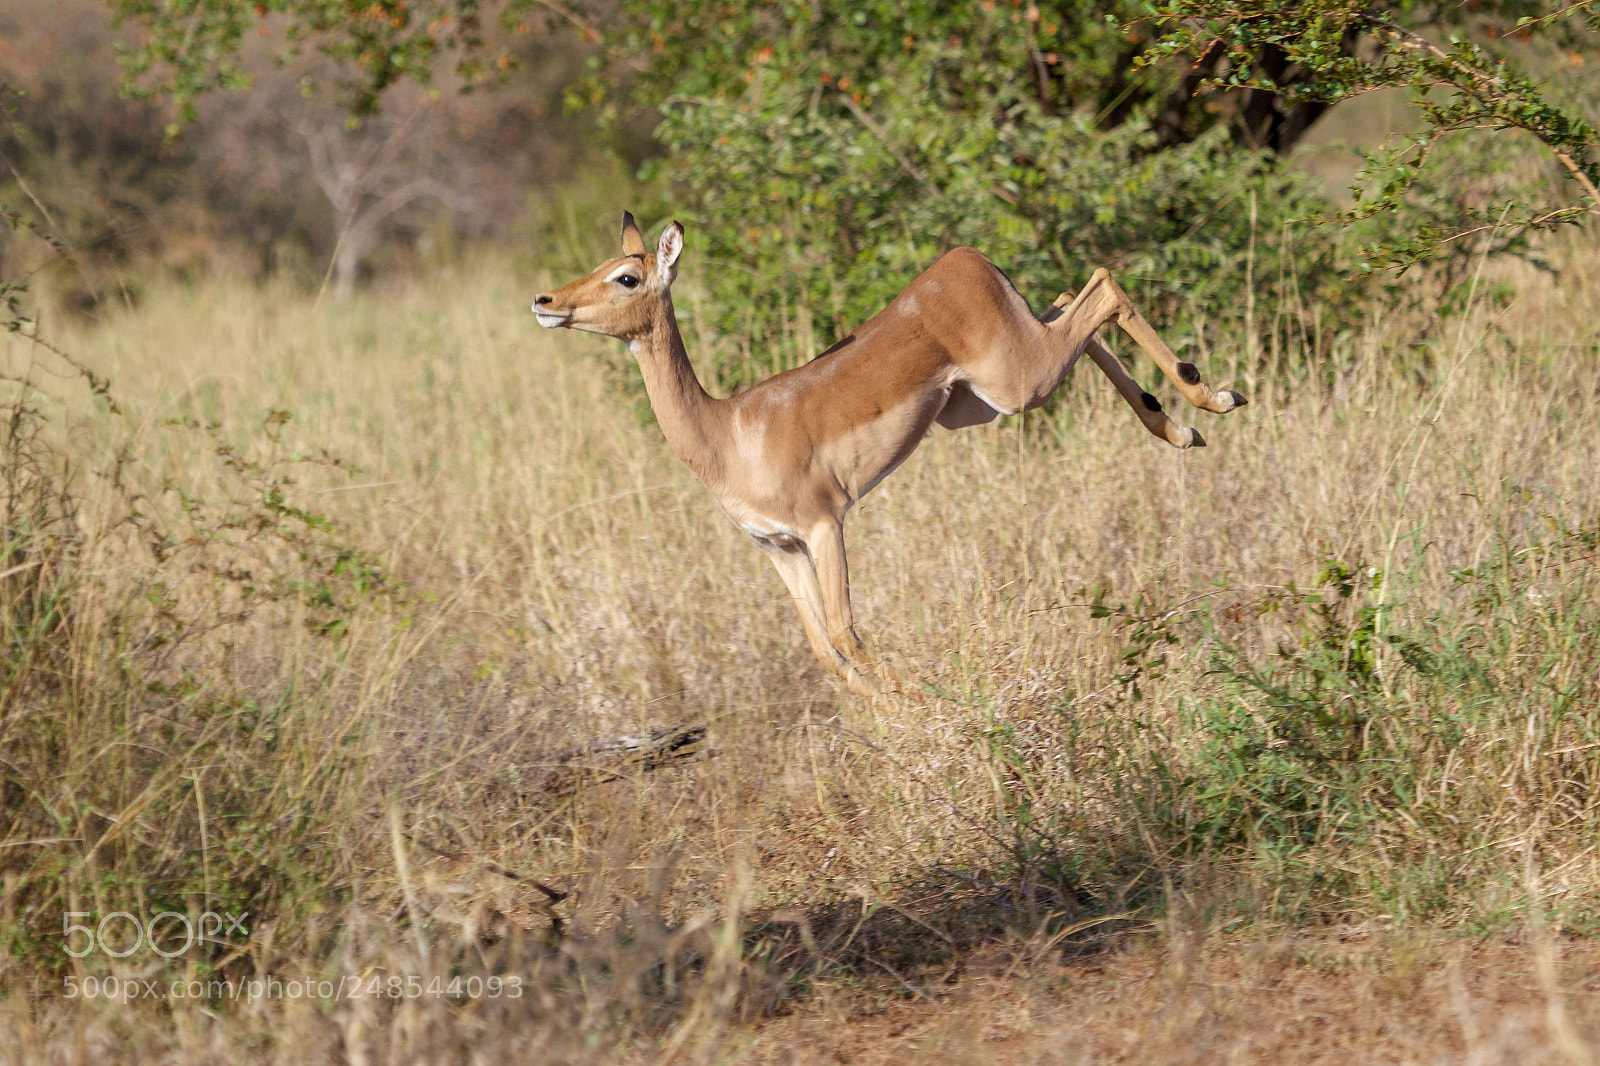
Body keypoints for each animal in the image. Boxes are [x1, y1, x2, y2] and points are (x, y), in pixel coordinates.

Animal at [533, 213, 1245, 695]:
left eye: (626, 276)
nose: (545, 301)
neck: (728, 433)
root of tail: (967, 260)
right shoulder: (777, 547)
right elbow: (823, 649)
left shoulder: (825, 526)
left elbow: (847, 632)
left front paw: (921, 710)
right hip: (988, 394)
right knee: (1076, 302)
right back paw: (1183, 426)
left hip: (1020, 383)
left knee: (1103, 286)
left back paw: (1212, 397)